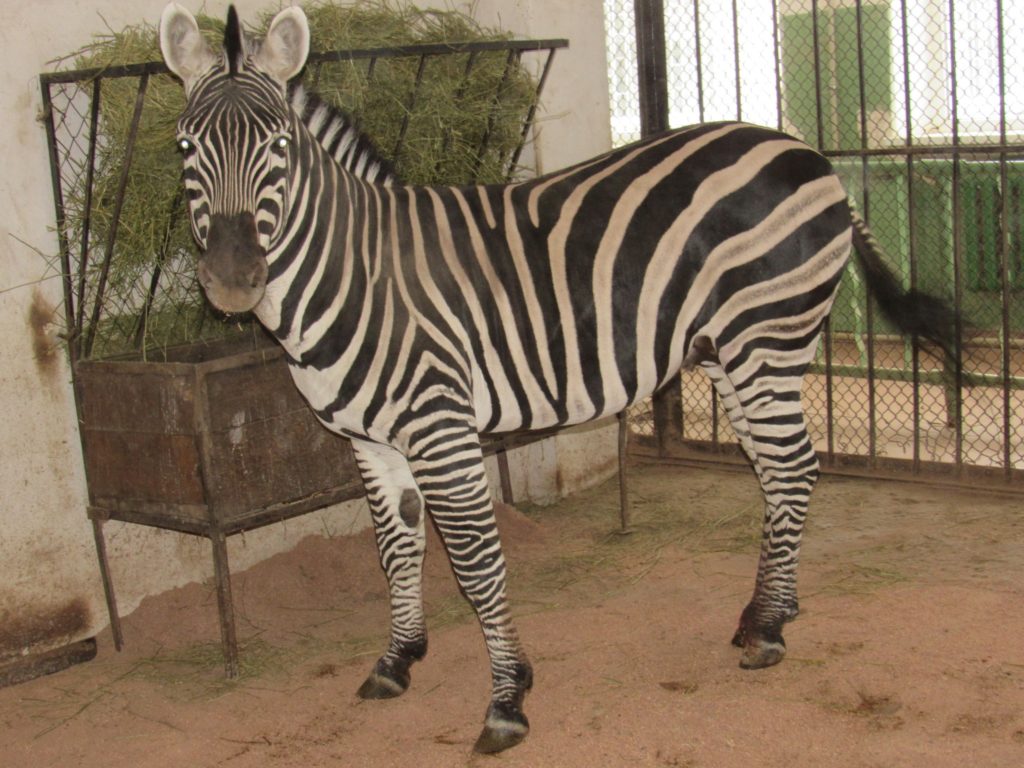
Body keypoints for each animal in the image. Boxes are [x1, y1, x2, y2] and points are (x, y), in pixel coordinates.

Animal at [159, 3, 958, 753]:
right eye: (186, 146)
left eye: (279, 145)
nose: (231, 280)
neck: (356, 273)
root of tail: (804, 151)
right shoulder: (368, 438)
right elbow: (397, 546)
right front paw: (397, 659)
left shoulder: (440, 425)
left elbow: (475, 560)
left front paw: (508, 698)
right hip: (731, 350)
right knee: (776, 470)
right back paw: (769, 610)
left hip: (767, 335)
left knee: (792, 467)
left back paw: (766, 631)